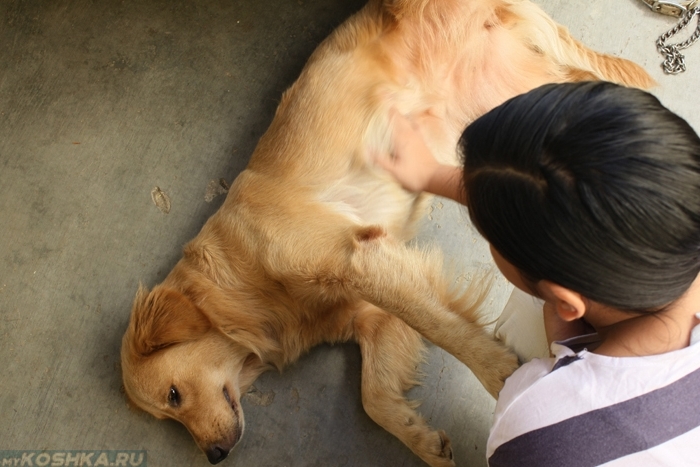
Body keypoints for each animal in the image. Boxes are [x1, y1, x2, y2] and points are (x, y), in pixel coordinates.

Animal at [121, 0, 656, 466]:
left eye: (174, 395)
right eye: (169, 414)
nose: (214, 455)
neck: (241, 281)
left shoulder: (356, 259)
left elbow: (441, 328)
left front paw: (499, 374)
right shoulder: (374, 311)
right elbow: (374, 396)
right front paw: (421, 440)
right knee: (588, 84)